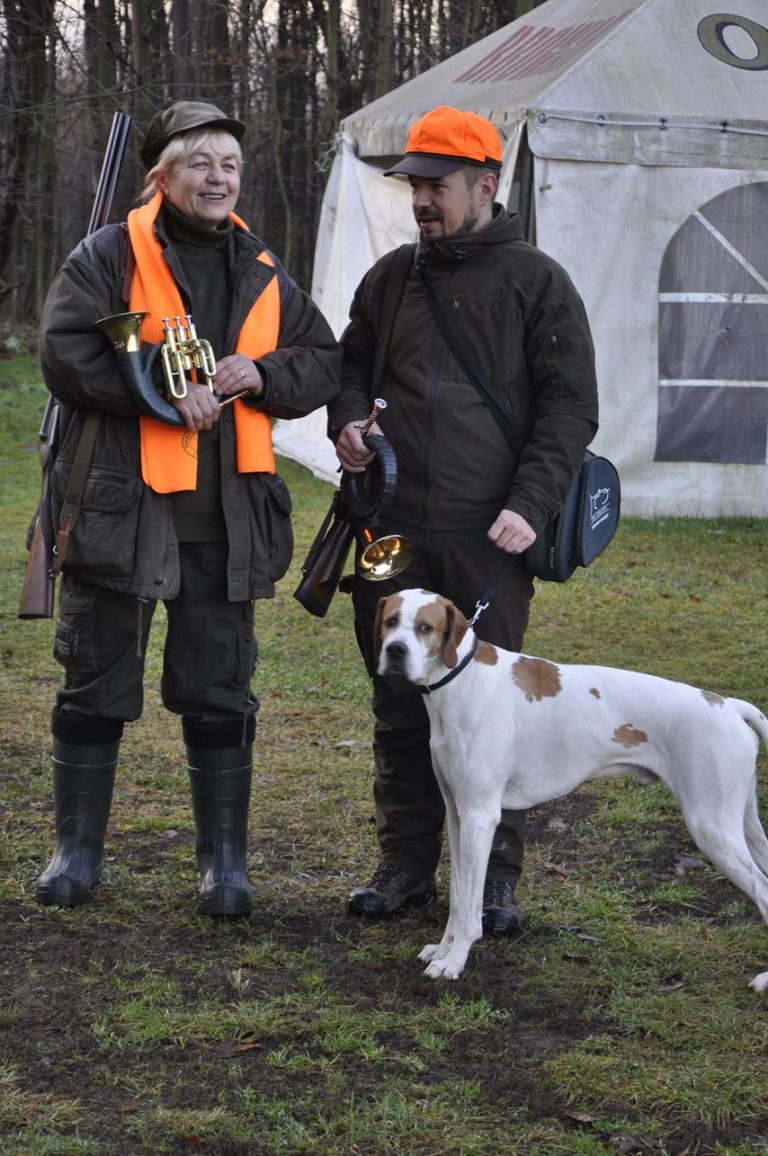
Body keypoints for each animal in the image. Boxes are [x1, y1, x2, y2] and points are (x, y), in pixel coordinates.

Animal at [374, 591, 768, 989]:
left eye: (425, 628)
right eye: (391, 622)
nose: (395, 651)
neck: (463, 680)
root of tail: (727, 705)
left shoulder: (479, 817)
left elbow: (470, 907)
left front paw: (454, 961)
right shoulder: (457, 815)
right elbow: (457, 897)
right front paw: (443, 950)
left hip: (712, 829)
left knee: (762, 890)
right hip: (743, 825)